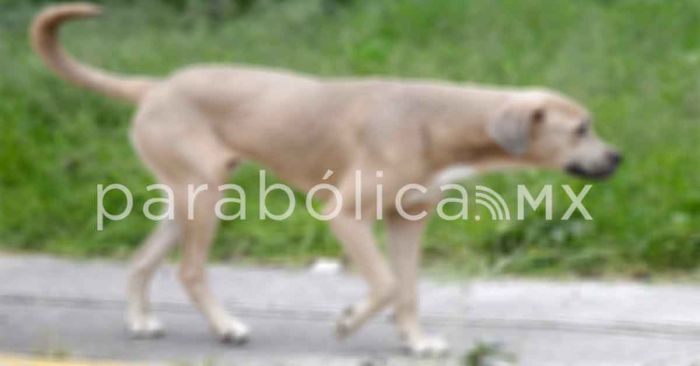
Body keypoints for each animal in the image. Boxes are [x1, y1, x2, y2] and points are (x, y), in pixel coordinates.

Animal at [32, 3, 624, 358]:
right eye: (581, 128)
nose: (617, 157)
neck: (439, 120)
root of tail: (155, 86)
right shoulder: (346, 215)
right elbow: (386, 285)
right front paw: (348, 323)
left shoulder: (408, 220)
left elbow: (408, 289)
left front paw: (415, 342)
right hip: (203, 198)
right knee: (190, 271)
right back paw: (226, 327)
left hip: (186, 198)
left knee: (141, 262)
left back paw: (140, 321)